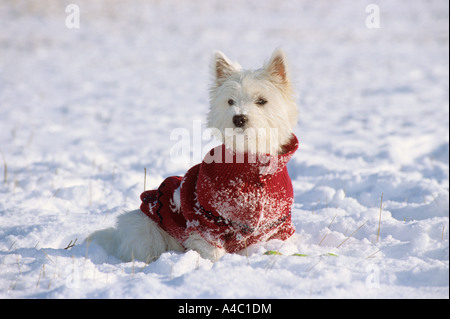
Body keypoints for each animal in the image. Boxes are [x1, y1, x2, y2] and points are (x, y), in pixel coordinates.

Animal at [87, 49, 298, 262]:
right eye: (230, 101)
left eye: (262, 101)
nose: (239, 118)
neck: (251, 160)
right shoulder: (206, 220)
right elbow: (210, 249)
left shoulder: (280, 223)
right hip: (148, 230)